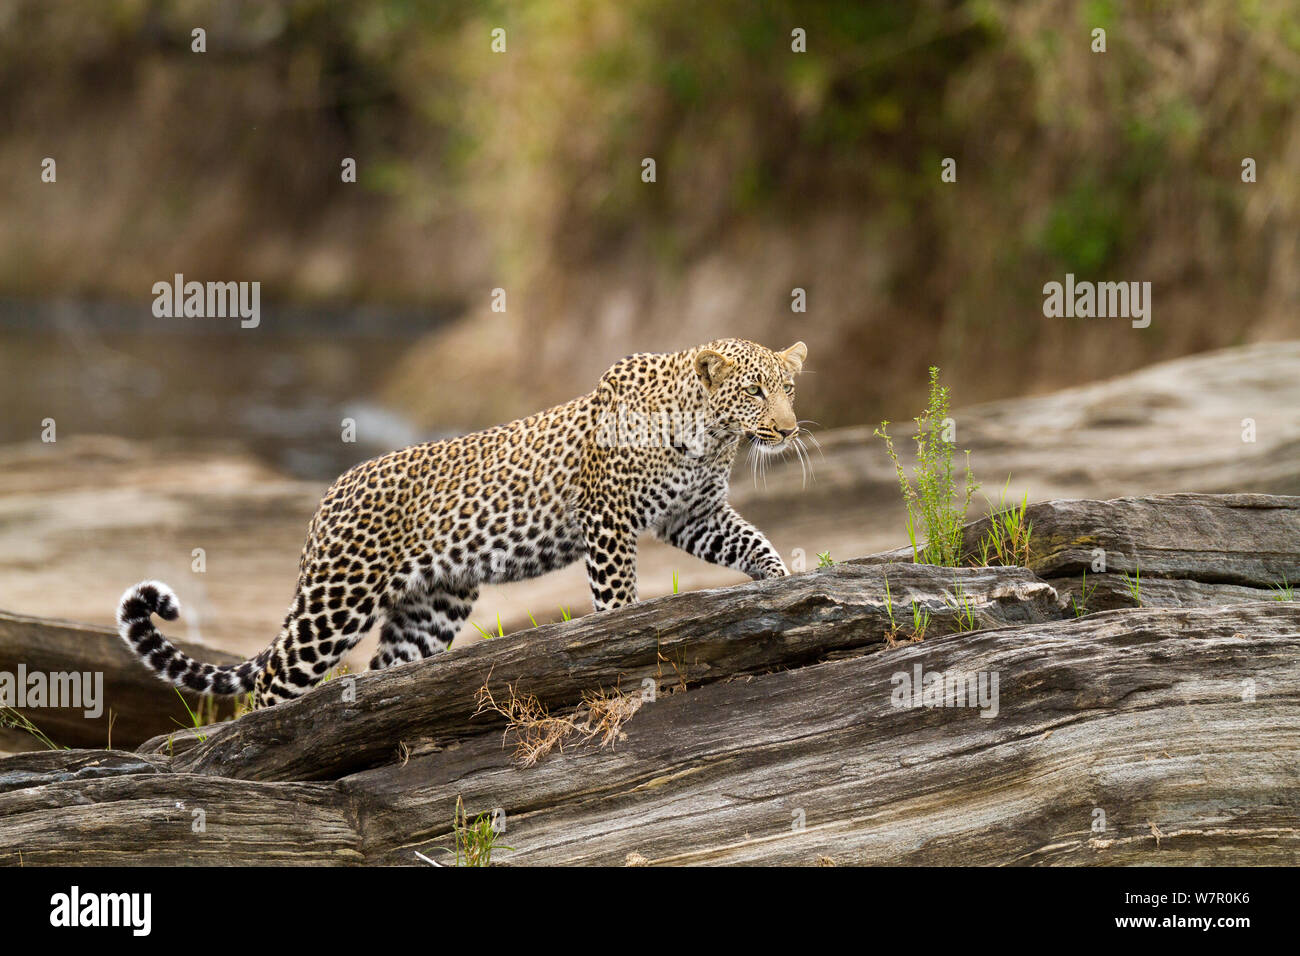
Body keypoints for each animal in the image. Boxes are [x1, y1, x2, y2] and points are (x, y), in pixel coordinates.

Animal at [122, 335, 811, 702]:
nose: (787, 430)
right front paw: (622, 635)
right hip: (338, 599)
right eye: (755, 391)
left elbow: (751, 540)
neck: (712, 435)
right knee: (274, 679)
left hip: (433, 606)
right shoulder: (608, 519)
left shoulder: (695, 514)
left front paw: (782, 583)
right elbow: (617, 596)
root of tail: (327, 497)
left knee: (383, 669)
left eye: (789, 389)